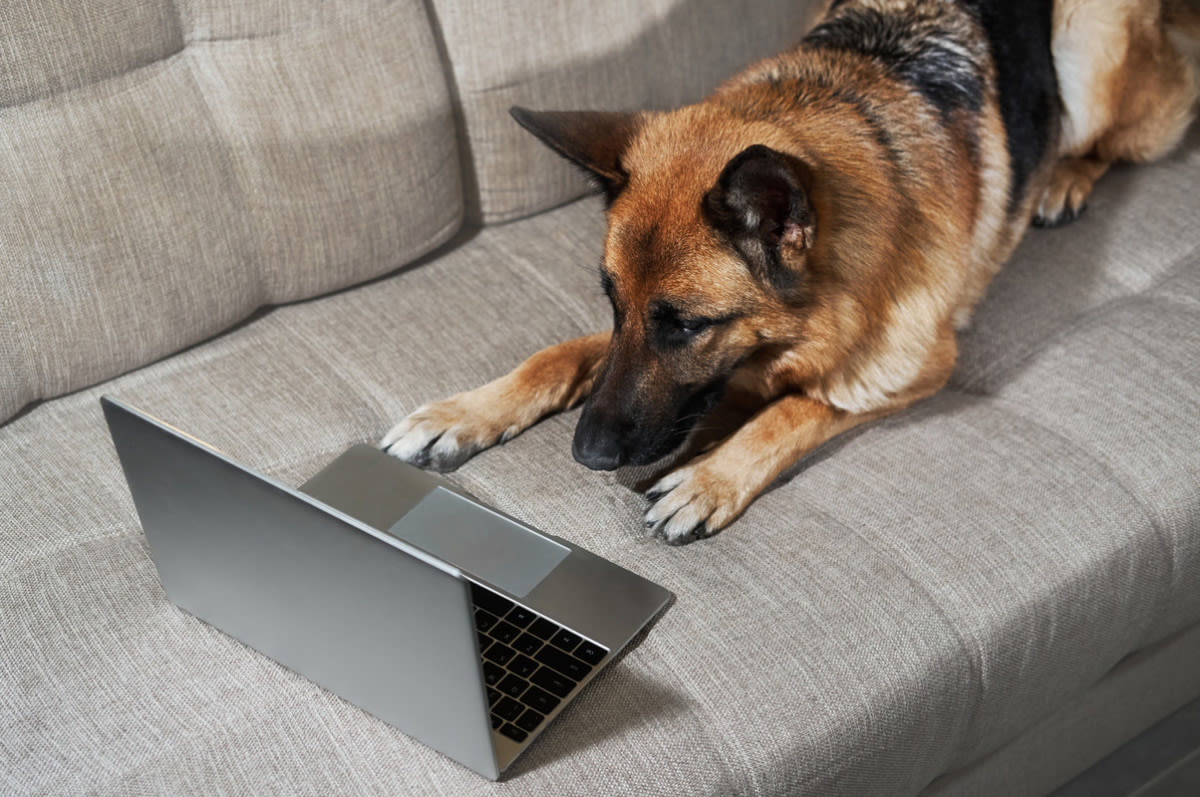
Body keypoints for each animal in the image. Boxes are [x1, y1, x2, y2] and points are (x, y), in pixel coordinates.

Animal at [381, 0, 1190, 542]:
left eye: (687, 326)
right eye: (612, 304)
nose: (587, 455)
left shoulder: (913, 369)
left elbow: (800, 408)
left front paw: (711, 477)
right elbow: (560, 354)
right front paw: (461, 413)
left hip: (1092, 43)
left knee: (1123, 135)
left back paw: (1065, 177)